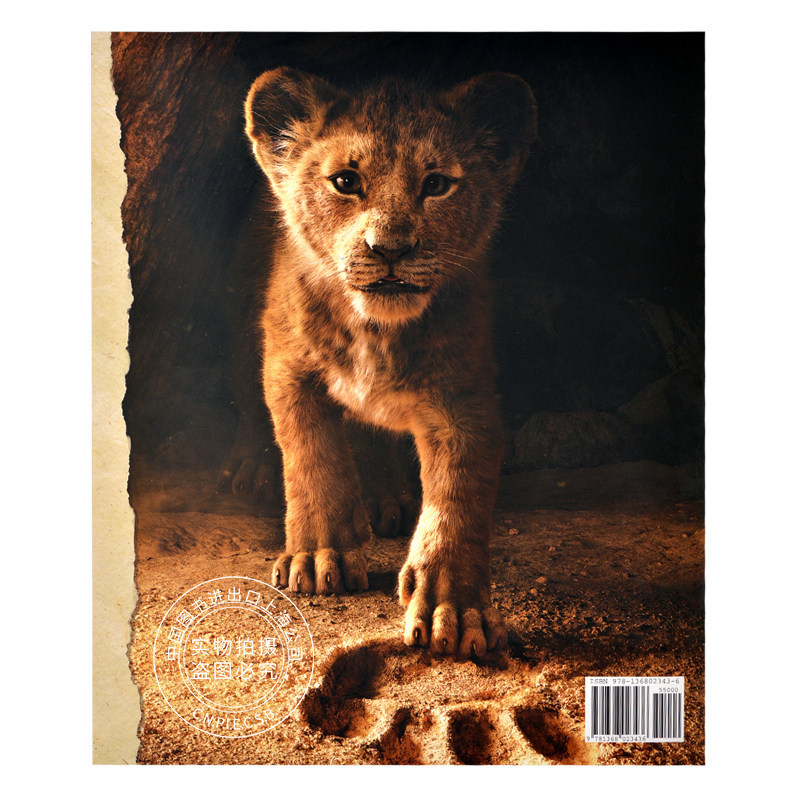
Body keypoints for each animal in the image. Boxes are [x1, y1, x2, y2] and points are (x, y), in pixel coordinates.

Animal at [242, 67, 536, 657]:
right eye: (345, 181)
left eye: (437, 184)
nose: (391, 249)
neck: (375, 331)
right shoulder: (288, 367)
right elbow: (313, 457)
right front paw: (319, 556)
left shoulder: (464, 399)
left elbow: (457, 500)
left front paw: (454, 608)